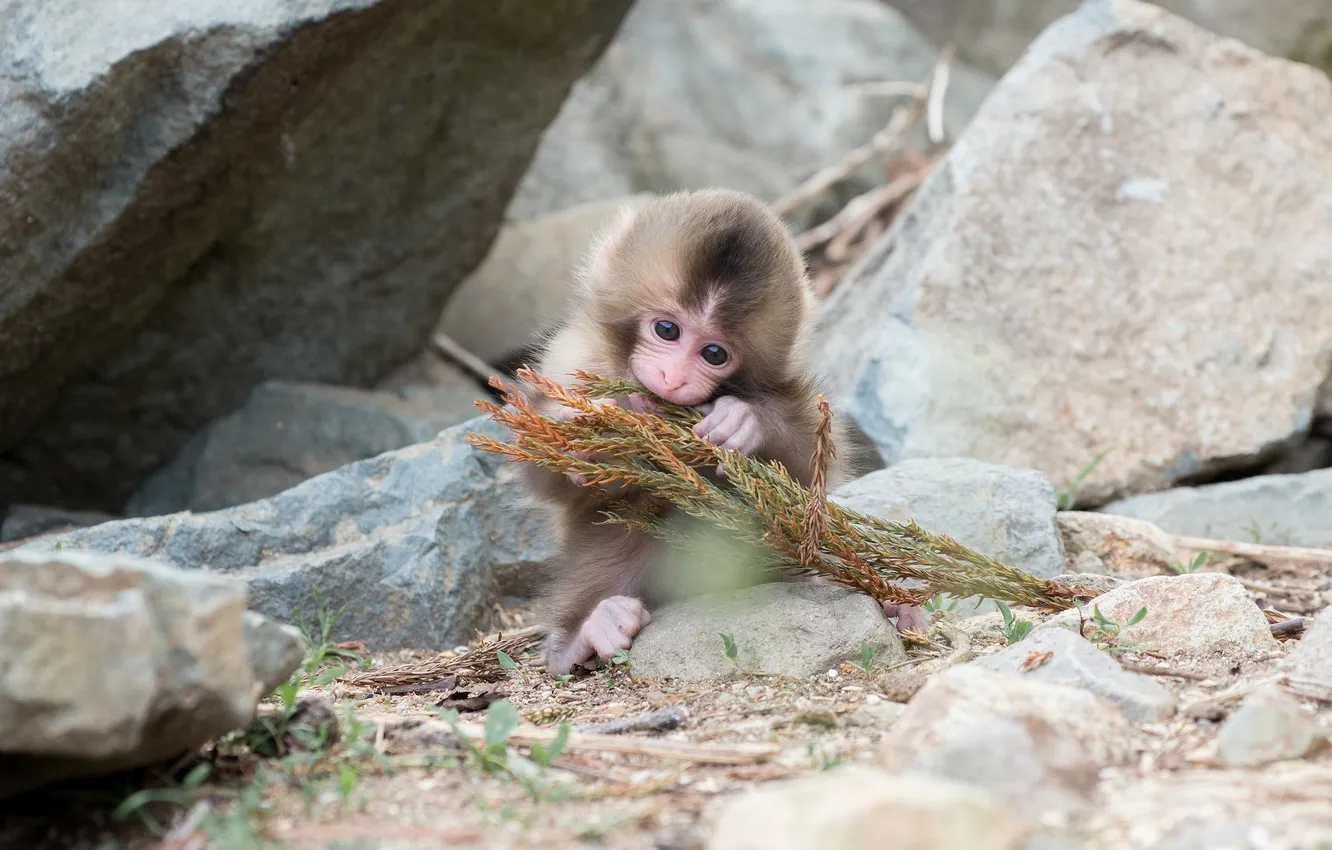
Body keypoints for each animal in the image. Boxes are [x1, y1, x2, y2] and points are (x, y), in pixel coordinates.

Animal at [519, 189, 927, 676]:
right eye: (667, 329)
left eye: (714, 353)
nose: (673, 378)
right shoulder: (573, 360)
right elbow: (547, 479)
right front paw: (581, 432)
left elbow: (813, 465)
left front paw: (743, 419)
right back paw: (585, 632)